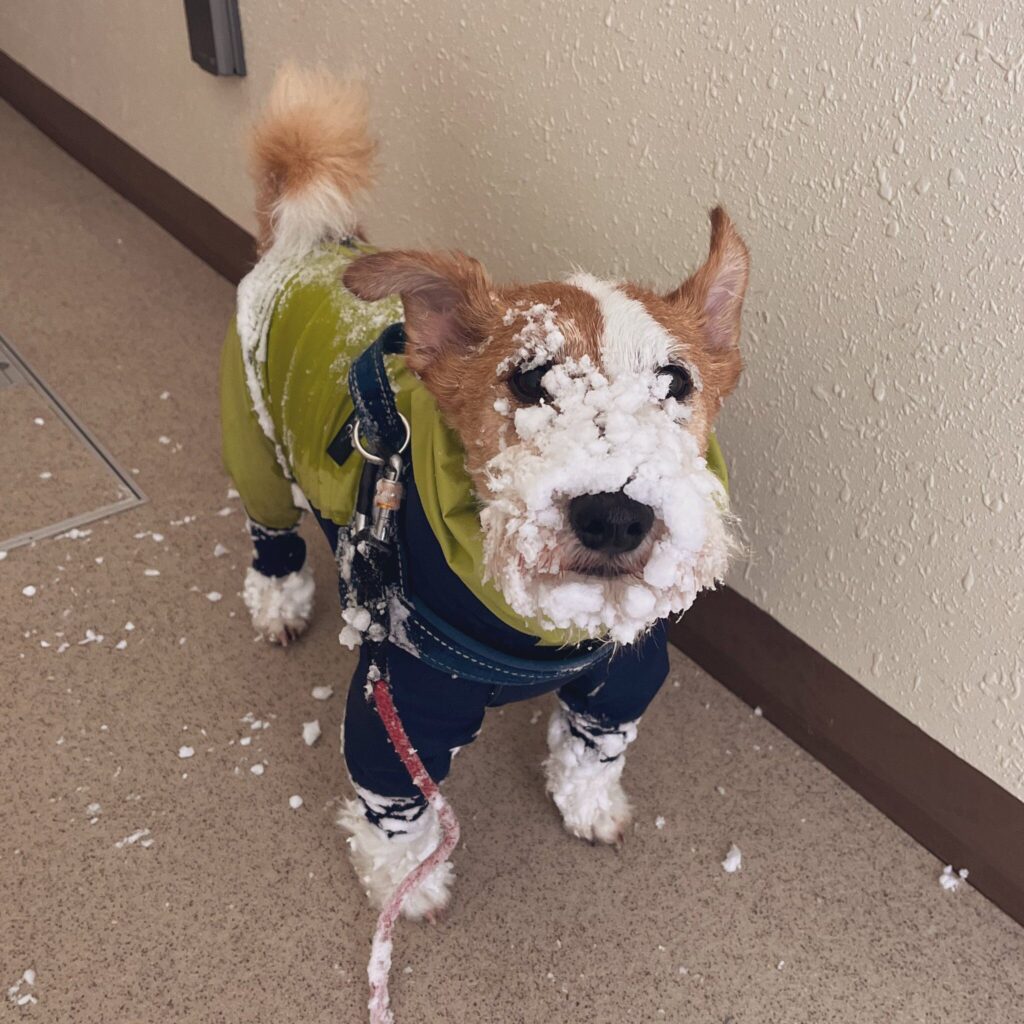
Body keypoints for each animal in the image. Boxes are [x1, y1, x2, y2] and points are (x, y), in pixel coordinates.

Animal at [220, 68, 749, 925]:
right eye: (529, 380)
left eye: (677, 381)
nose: (615, 513)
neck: (541, 629)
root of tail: (305, 244)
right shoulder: (401, 706)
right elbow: (397, 814)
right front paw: (409, 884)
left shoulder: (623, 680)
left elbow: (593, 753)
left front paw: (589, 809)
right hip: (254, 447)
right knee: (273, 541)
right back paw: (279, 605)